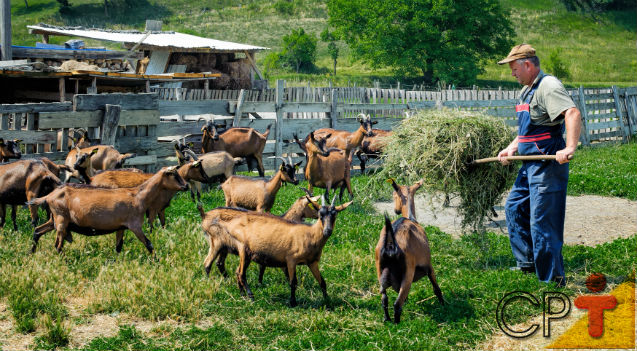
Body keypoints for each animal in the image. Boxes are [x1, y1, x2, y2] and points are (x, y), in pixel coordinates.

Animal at [29, 166, 188, 254]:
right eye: (173, 175)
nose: (186, 186)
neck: (138, 196)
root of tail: (50, 195)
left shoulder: (121, 226)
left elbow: (118, 246)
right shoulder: (135, 225)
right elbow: (149, 243)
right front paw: (156, 260)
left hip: (55, 219)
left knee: (38, 231)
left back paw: (31, 252)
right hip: (61, 220)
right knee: (57, 245)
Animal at [198, 197, 350, 306]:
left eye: (335, 215)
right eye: (320, 214)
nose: (327, 231)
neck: (310, 234)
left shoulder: (312, 262)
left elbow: (322, 282)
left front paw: (327, 300)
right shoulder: (291, 260)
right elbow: (293, 282)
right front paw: (293, 302)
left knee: (235, 271)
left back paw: (242, 294)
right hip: (239, 249)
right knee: (237, 273)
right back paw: (250, 296)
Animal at [372, 179, 442, 324]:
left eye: (394, 195)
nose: (396, 210)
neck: (411, 218)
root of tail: (391, 246)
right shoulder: (428, 265)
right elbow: (436, 287)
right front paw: (444, 306)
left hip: (379, 269)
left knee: (384, 299)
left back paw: (387, 319)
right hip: (408, 272)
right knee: (397, 304)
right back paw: (397, 324)